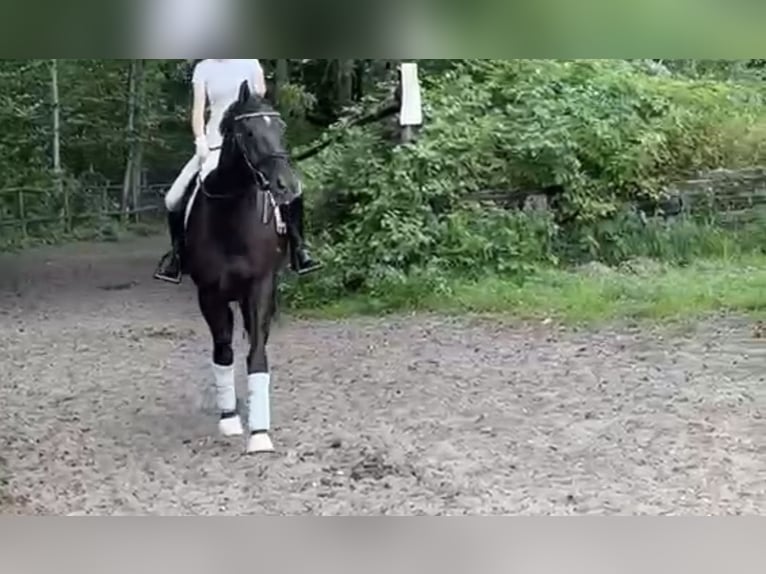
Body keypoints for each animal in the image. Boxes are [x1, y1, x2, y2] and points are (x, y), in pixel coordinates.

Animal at [180, 81, 298, 454]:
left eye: (281, 128)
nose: (287, 187)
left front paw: (259, 433)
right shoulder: (209, 294)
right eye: (248, 132)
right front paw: (229, 418)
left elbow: (257, 352)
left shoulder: (260, 287)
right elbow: (223, 351)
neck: (230, 214)